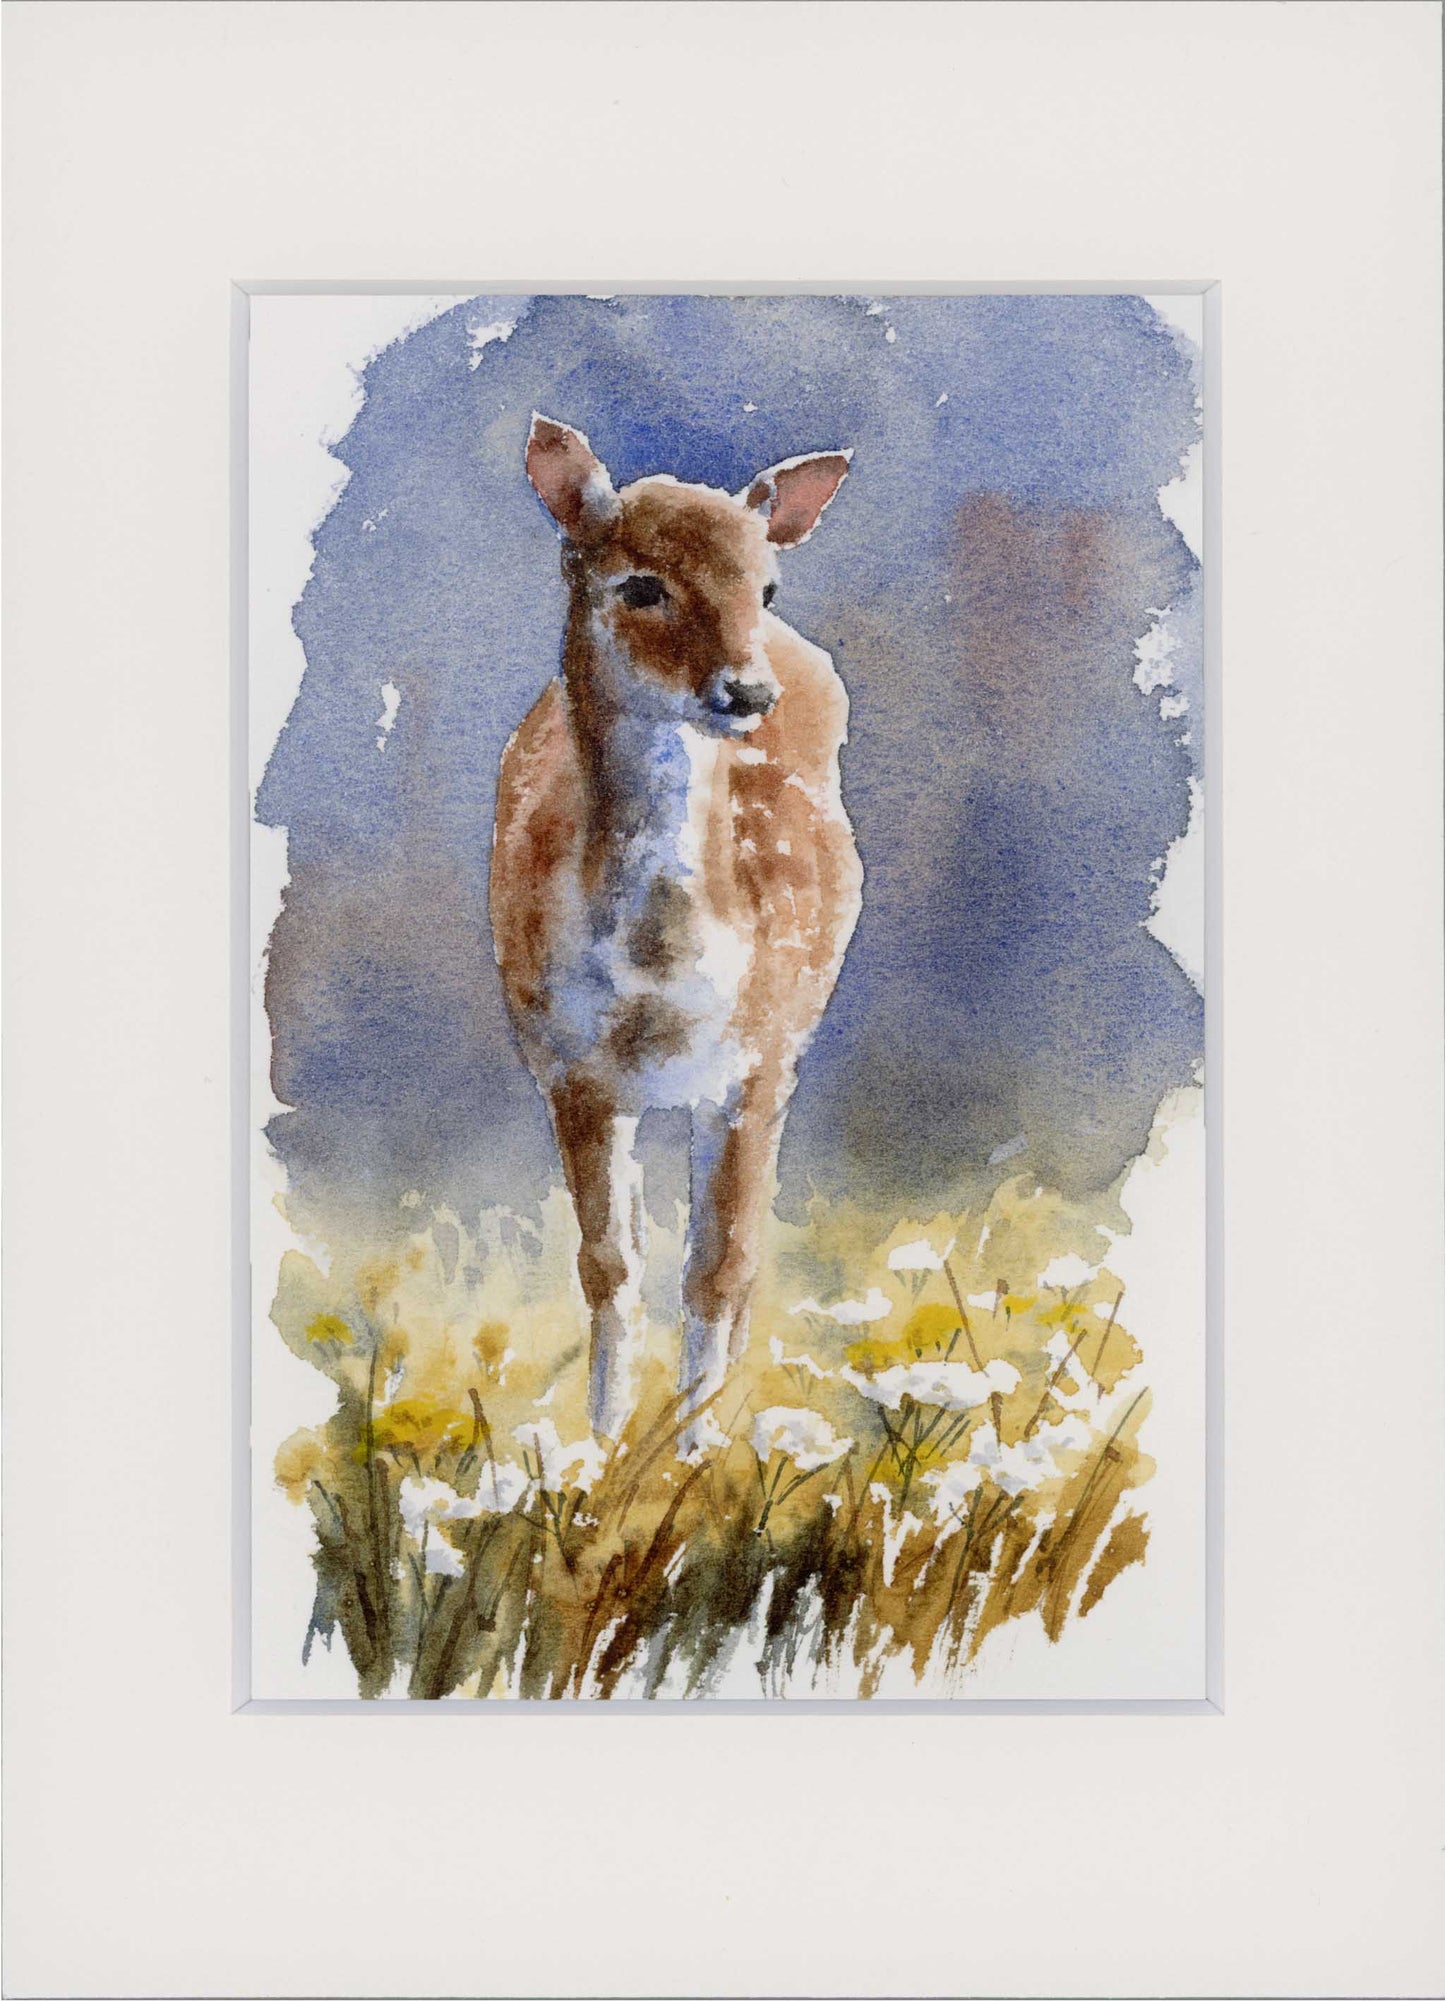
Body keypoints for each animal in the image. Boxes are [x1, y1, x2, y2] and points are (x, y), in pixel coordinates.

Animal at [490, 415, 862, 1453]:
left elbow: (719, 1265)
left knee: (742, 1255)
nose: (746, 692)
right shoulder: (567, 1065)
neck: (655, 985)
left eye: (764, 586)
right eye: (641, 584)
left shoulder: (757, 1060)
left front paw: (692, 1460)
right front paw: (602, 1451)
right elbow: (609, 1262)